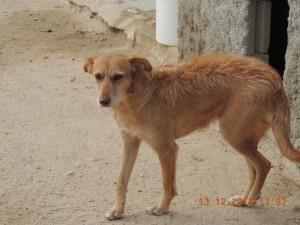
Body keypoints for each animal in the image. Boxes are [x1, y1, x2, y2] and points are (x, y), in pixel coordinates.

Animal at [82, 52, 300, 220]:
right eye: (98, 76)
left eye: (118, 77)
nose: (103, 101)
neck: (136, 95)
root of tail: (272, 77)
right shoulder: (130, 142)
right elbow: (121, 180)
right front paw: (117, 210)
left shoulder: (167, 148)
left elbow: (167, 184)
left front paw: (161, 208)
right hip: (243, 138)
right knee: (254, 170)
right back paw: (244, 199)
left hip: (234, 136)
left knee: (264, 165)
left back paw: (250, 199)